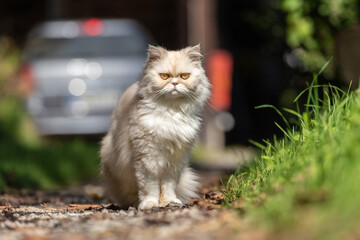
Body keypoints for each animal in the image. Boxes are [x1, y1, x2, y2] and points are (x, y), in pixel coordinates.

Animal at [99, 45, 211, 210]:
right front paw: (150, 204)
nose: (175, 84)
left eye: (184, 76)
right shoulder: (147, 159)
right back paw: (137, 204)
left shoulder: (174, 162)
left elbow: (168, 186)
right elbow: (149, 187)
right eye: (164, 76)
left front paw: (169, 202)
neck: (171, 111)